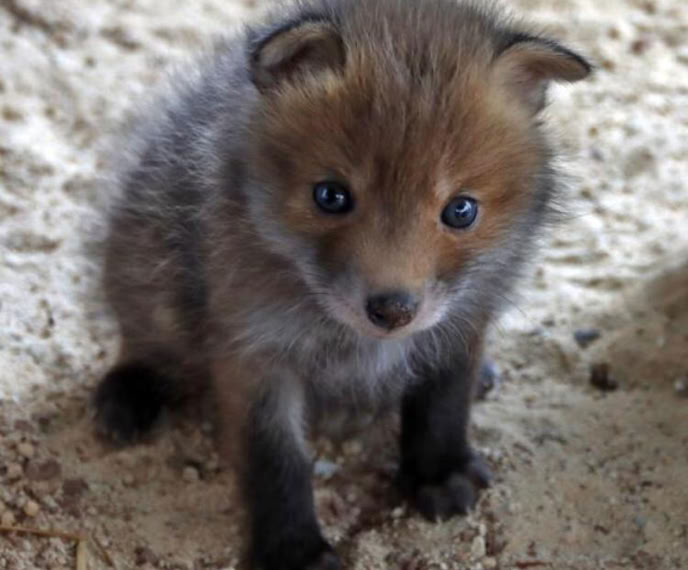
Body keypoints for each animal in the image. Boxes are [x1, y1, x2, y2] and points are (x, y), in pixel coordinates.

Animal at [92, 0, 591, 568]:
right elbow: (275, 463)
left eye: (461, 210)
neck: (355, 346)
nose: (392, 310)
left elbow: (442, 406)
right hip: (149, 280)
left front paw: (438, 472)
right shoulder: (253, 351)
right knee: (144, 340)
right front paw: (293, 549)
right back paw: (127, 394)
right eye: (330, 196)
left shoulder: (463, 320)